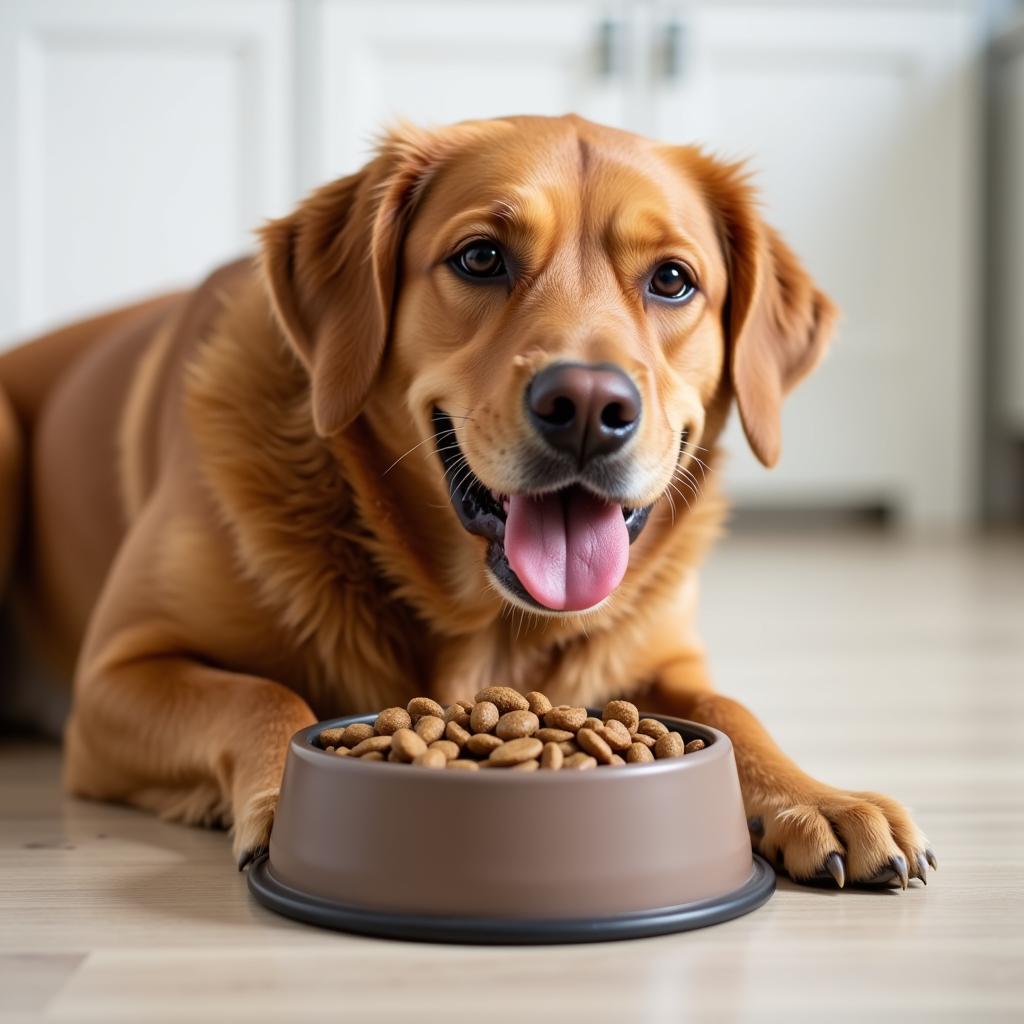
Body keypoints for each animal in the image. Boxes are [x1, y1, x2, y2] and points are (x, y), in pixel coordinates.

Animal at [0, 114, 933, 888]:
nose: (588, 408)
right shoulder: (116, 680)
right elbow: (263, 696)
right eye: (481, 257)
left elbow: (731, 711)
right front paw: (289, 801)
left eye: (673, 279)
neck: (480, 626)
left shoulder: (667, 662)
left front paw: (818, 797)